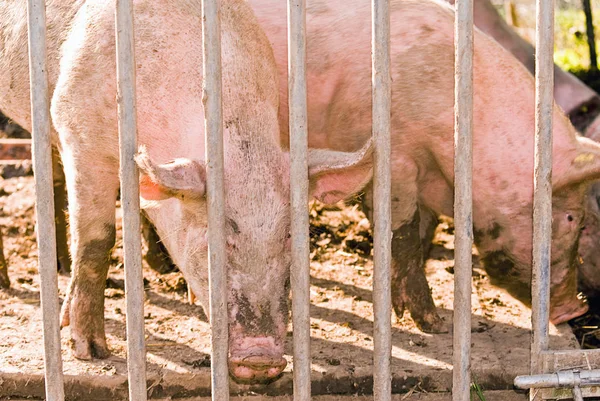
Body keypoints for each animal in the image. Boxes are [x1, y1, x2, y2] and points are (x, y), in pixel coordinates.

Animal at [0, 0, 372, 382]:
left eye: (289, 238)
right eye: (214, 243)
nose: (260, 358)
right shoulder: (79, 134)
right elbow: (96, 241)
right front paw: (91, 350)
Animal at [244, 0, 600, 332]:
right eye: (573, 220)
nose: (577, 308)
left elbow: (425, 230)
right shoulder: (395, 157)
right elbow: (403, 229)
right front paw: (433, 323)